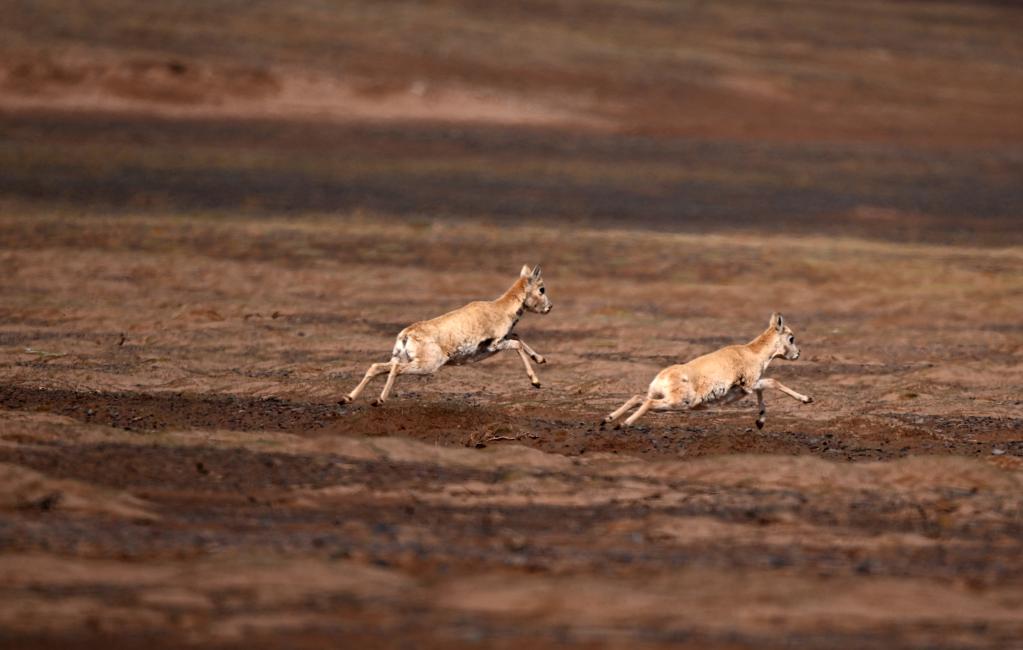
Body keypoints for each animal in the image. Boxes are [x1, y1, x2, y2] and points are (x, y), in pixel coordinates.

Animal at [339, 264, 552, 407]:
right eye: (542, 289)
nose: (549, 307)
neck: (500, 308)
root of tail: (406, 335)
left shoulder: (504, 339)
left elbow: (517, 336)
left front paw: (541, 359)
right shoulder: (495, 344)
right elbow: (517, 344)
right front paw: (535, 382)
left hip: (403, 359)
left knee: (376, 367)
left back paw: (347, 398)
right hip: (427, 365)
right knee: (396, 369)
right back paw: (379, 400)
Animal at [601, 315, 810, 431]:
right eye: (791, 338)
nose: (798, 354)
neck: (751, 352)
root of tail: (662, 377)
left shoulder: (748, 387)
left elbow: (764, 389)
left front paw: (760, 422)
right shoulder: (749, 384)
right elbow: (773, 382)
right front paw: (808, 399)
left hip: (661, 396)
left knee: (638, 398)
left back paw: (607, 419)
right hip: (678, 403)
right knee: (648, 403)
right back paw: (622, 424)